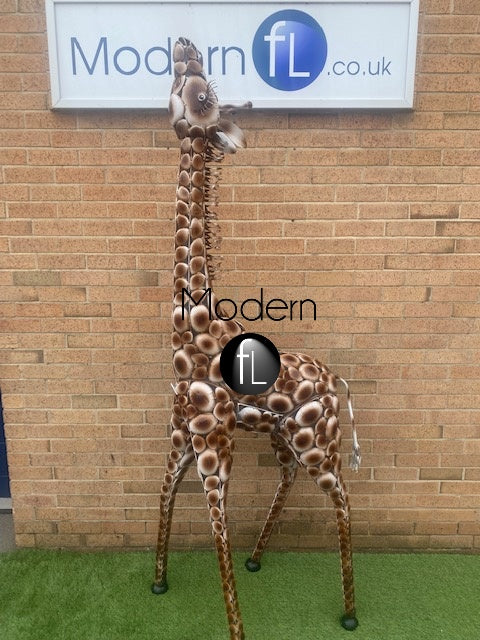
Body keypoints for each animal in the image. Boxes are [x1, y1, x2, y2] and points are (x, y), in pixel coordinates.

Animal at [152, 37, 361, 640]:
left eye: (203, 96)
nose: (182, 44)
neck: (193, 330)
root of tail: (335, 378)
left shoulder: (212, 438)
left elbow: (215, 523)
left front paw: (237, 630)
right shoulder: (179, 432)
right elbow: (164, 495)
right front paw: (157, 581)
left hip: (319, 442)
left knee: (343, 500)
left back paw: (350, 611)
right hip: (284, 436)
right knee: (289, 479)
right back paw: (258, 557)